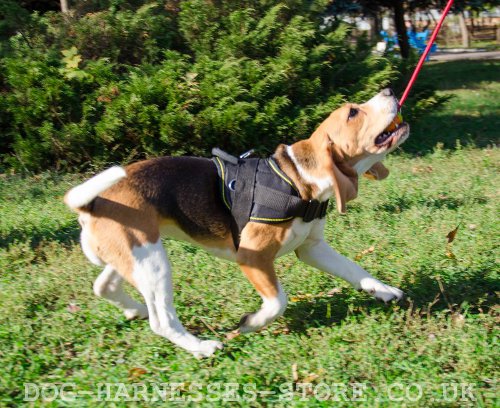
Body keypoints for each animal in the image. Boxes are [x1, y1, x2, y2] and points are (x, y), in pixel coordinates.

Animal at [65, 88, 410, 356]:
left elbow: (354, 269)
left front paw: (382, 290)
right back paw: (201, 346)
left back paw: (135, 309)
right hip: (153, 262)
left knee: (104, 285)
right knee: (161, 320)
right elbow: (278, 302)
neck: (298, 179)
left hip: (135, 253)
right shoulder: (253, 257)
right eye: (353, 112)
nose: (390, 90)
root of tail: (91, 204)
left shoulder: (312, 248)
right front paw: (252, 323)